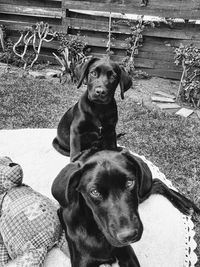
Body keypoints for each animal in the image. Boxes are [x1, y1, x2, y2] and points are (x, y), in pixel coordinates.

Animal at [52, 149, 200, 267]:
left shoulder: (127, 255)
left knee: (156, 182)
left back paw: (187, 205)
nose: (128, 236)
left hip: (141, 191)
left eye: (129, 183)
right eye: (94, 192)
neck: (97, 233)